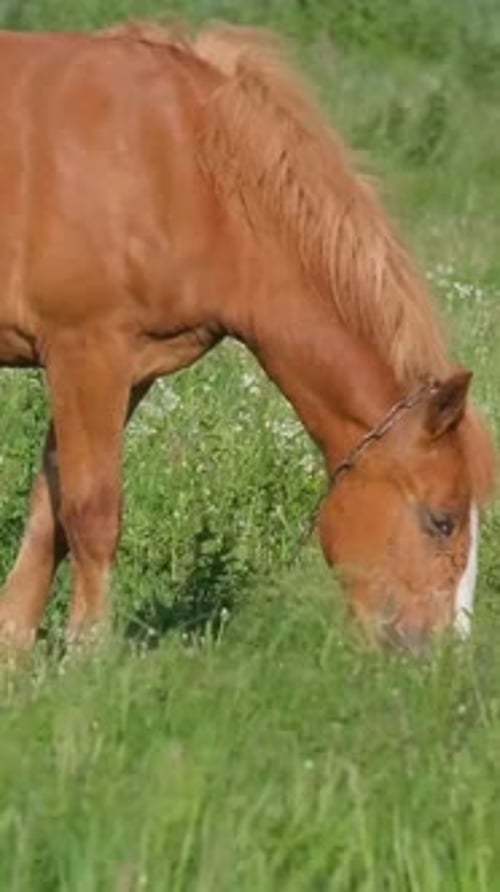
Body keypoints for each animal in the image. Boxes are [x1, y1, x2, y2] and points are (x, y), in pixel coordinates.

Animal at [0, 20, 494, 652]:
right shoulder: (84, 351)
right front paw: (89, 652)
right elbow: (92, 511)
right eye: (442, 520)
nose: (440, 655)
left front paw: (17, 651)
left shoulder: (125, 370)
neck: (183, 165)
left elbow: (49, 510)